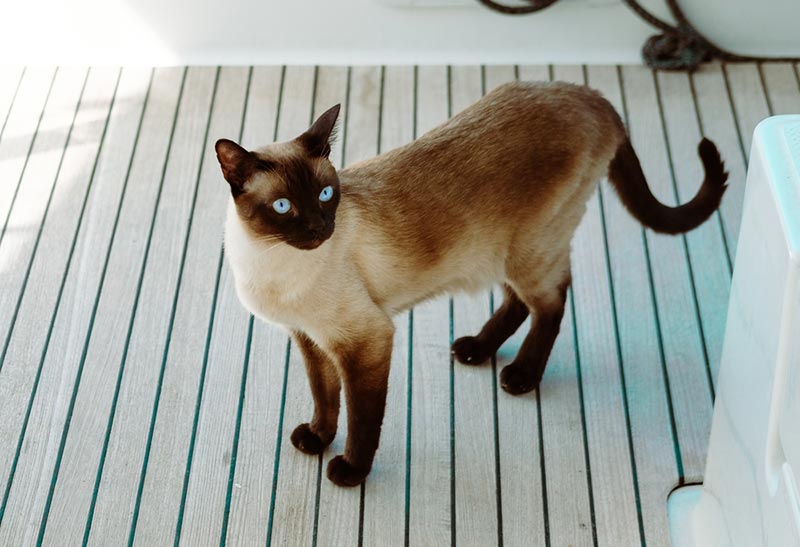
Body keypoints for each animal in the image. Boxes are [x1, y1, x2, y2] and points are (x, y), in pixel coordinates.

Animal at [216, 79, 728, 486]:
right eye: (284, 207)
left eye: (325, 194)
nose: (321, 228)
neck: (269, 261)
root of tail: (588, 93)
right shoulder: (310, 339)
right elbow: (325, 397)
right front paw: (317, 438)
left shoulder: (366, 340)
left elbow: (363, 418)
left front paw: (350, 471)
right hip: (500, 250)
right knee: (519, 301)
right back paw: (477, 350)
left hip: (529, 249)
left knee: (551, 301)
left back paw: (520, 375)